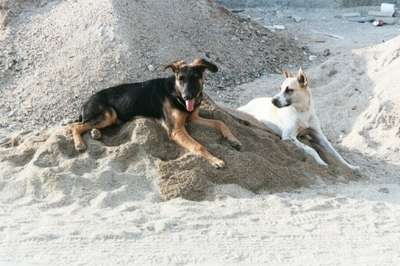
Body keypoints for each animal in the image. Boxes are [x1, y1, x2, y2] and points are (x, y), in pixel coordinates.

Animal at [69, 59, 241, 169]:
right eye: (180, 79)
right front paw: (215, 160)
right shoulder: (176, 130)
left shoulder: (193, 118)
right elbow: (198, 146)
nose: (187, 97)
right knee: (75, 126)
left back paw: (95, 133)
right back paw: (79, 143)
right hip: (109, 114)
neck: (176, 93)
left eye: (195, 78)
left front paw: (233, 139)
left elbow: (220, 122)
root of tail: (85, 103)